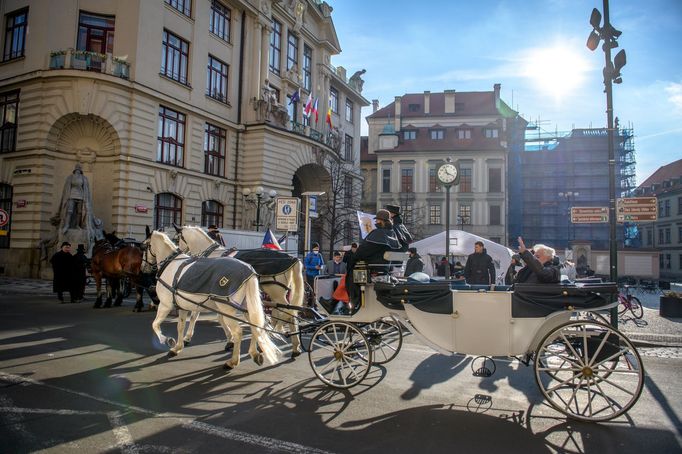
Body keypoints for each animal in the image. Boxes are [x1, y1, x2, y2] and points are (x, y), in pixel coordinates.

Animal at [141, 231, 278, 368]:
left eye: (143, 246)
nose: (143, 268)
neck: (171, 265)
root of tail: (249, 271)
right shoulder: (183, 307)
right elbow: (180, 326)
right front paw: (178, 347)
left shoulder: (165, 305)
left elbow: (155, 324)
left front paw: (167, 340)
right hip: (247, 307)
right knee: (255, 327)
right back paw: (254, 353)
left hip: (227, 310)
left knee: (238, 332)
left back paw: (233, 361)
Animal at [174, 224, 304, 358]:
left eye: (176, 238)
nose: (178, 254)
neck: (213, 255)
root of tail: (292, 258)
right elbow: (210, 316)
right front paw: (230, 339)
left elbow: (200, 316)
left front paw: (188, 337)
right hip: (276, 295)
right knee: (281, 313)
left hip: (276, 292)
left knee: (288, 315)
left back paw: (286, 342)